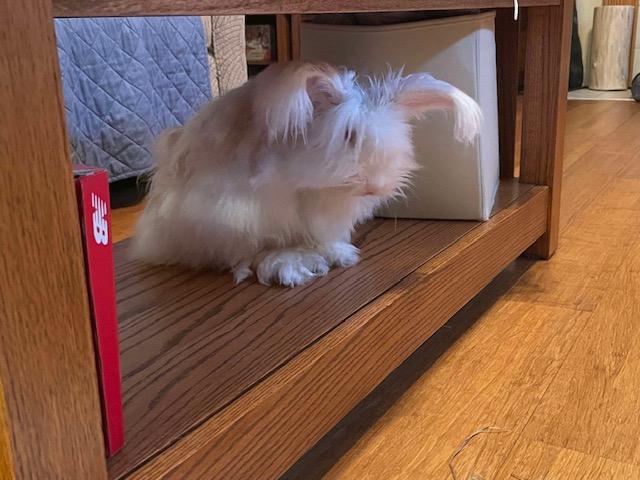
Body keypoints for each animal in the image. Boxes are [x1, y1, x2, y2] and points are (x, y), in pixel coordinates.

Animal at [131, 62, 482, 287]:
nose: (375, 187)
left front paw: (337, 254)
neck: (304, 186)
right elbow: (254, 247)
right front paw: (284, 265)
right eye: (349, 137)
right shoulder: (234, 210)